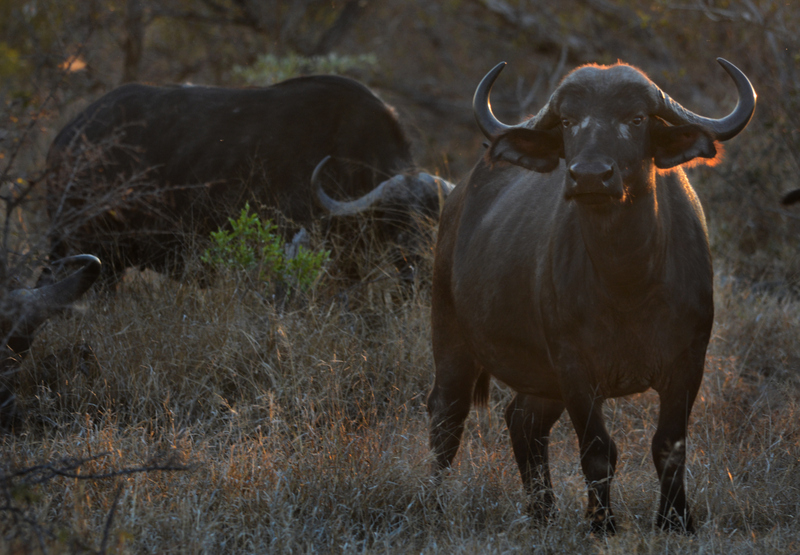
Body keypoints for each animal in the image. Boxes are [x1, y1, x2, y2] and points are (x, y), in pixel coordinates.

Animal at [427, 58, 755, 533]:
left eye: (635, 118)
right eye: (568, 120)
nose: (589, 177)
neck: (629, 283)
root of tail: (457, 198)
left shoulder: (689, 361)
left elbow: (669, 444)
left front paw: (675, 520)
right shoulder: (574, 367)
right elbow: (598, 450)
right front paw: (602, 523)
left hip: (541, 379)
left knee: (522, 420)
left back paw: (543, 511)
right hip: (451, 334)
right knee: (447, 415)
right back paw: (434, 504)